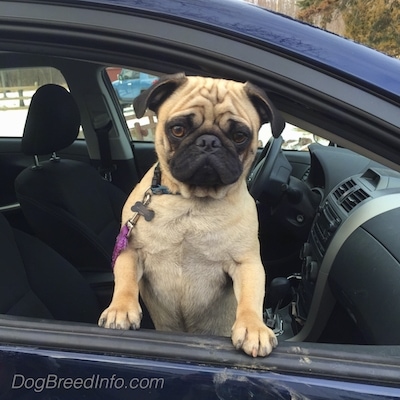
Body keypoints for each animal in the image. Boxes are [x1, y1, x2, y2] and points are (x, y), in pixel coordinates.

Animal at [97, 72, 284, 356]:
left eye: (239, 136)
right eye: (178, 130)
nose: (209, 142)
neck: (191, 203)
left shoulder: (247, 264)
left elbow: (251, 297)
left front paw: (253, 327)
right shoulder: (130, 251)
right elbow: (125, 281)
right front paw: (120, 309)